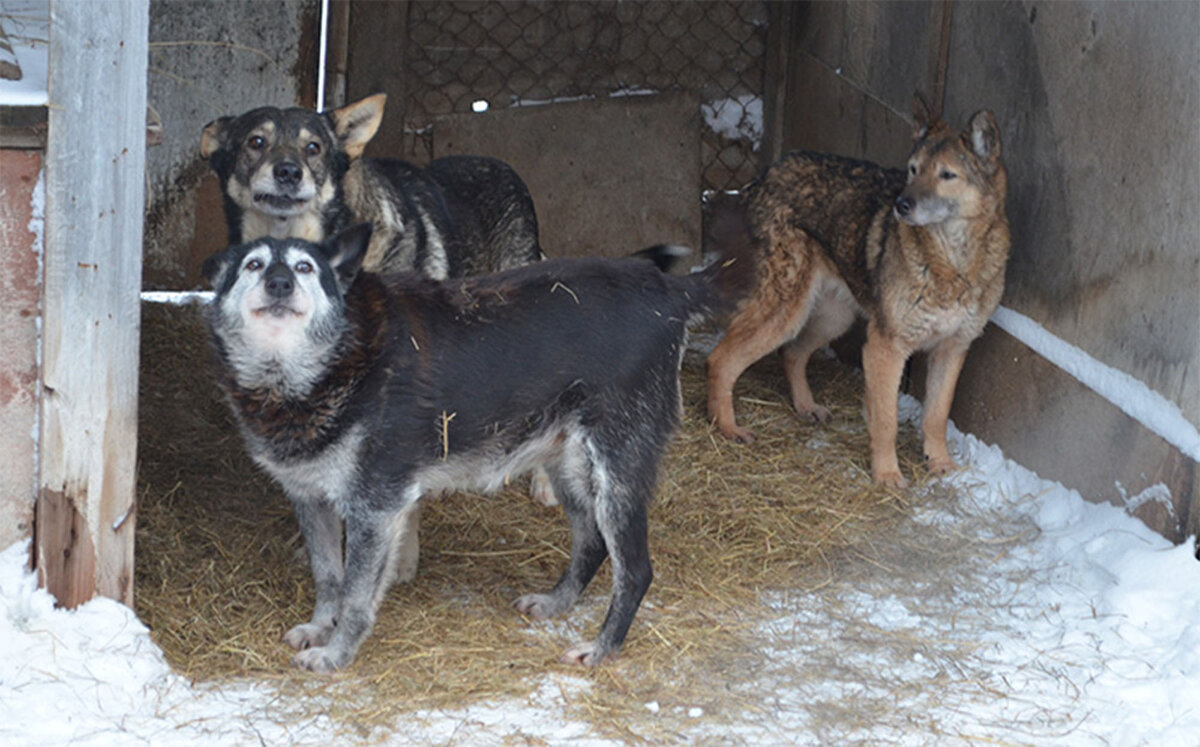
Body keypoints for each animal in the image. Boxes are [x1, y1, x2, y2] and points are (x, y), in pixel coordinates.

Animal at [202, 225, 753, 677]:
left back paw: (601, 650)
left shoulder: (376, 507)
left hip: (617, 470)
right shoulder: (310, 499)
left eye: (304, 268)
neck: (324, 363)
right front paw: (321, 626)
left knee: (635, 570)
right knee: (592, 543)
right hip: (569, 467)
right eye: (254, 265)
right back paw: (557, 603)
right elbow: (328, 577)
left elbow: (357, 596)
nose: (280, 284)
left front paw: (336, 654)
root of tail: (669, 289)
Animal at [705, 96, 1008, 489]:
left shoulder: (953, 349)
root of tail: (765, 174)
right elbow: (886, 420)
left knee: (792, 354)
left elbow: (936, 416)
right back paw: (727, 429)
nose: (901, 205)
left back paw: (805, 407)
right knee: (720, 359)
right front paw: (887, 475)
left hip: (834, 318)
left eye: (946, 175)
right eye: (912, 170)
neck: (953, 263)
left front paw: (940, 465)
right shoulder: (885, 347)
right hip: (785, 313)